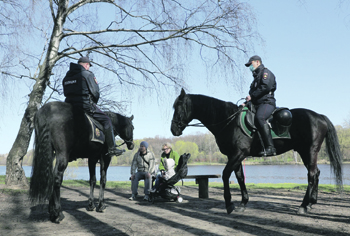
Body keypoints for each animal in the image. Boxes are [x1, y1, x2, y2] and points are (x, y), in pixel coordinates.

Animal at [171, 88, 344, 214]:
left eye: (178, 107)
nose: (173, 129)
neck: (229, 120)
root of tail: (319, 116)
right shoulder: (235, 156)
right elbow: (240, 178)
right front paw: (243, 203)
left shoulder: (238, 154)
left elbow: (226, 175)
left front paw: (229, 204)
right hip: (305, 153)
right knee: (316, 173)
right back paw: (311, 203)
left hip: (309, 151)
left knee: (312, 175)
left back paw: (303, 205)